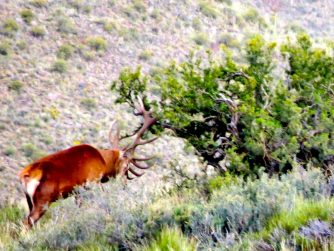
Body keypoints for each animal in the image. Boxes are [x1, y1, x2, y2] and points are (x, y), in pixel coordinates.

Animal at [18, 98, 158, 227]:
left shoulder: (78, 192)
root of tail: (24, 175)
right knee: (28, 222)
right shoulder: (93, 181)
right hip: (43, 200)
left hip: (30, 202)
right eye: (126, 166)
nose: (124, 184)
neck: (103, 162)